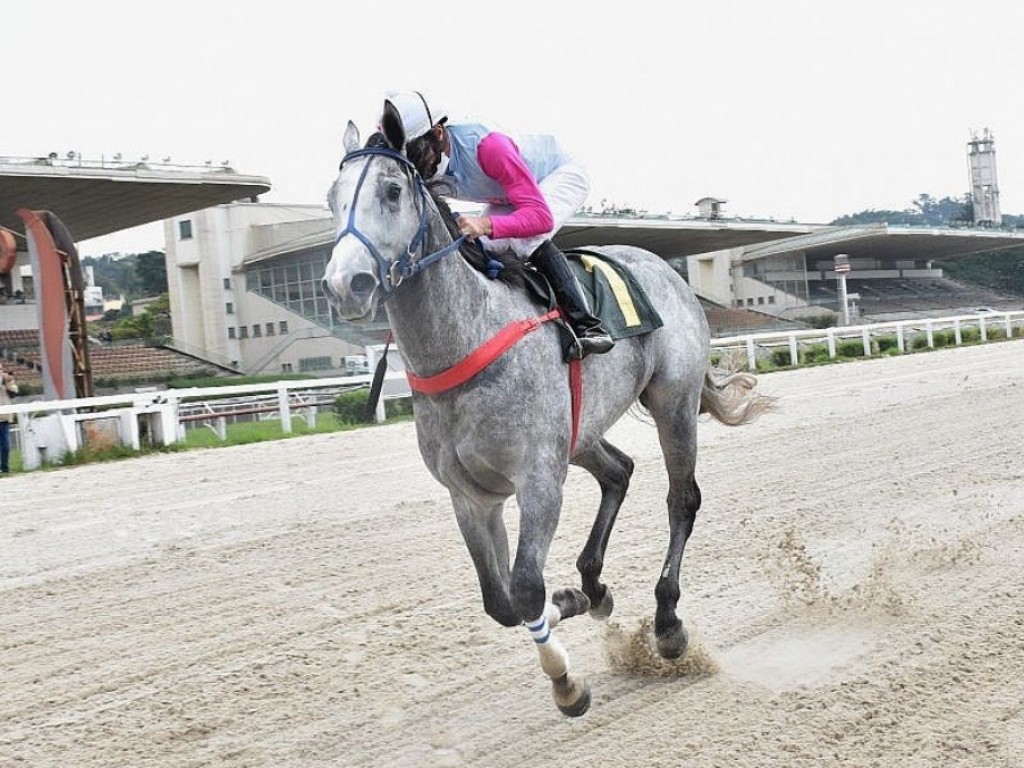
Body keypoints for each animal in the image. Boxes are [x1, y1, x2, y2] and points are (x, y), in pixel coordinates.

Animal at [323, 111, 770, 720]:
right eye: (331, 198)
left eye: (392, 191)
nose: (346, 284)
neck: (465, 342)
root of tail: (669, 270)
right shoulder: (470, 495)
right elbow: (503, 601)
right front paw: (575, 597)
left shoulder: (538, 480)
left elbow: (526, 588)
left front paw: (566, 681)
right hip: (580, 432)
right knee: (618, 471)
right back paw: (593, 587)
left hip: (672, 402)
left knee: (682, 499)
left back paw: (667, 623)